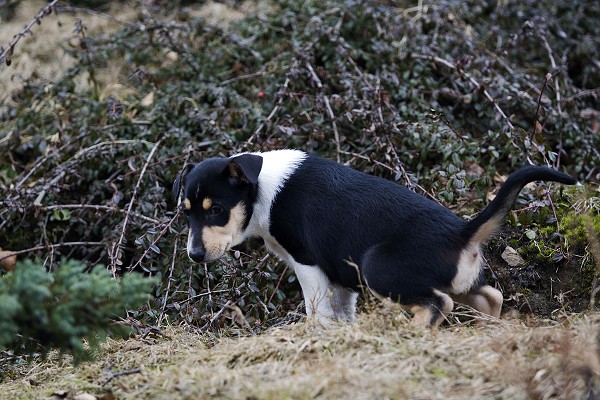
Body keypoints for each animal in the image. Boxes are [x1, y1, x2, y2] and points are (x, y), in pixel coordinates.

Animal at [172, 150, 576, 328]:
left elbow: (317, 310)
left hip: (377, 268)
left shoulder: (308, 263)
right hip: (460, 280)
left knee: (438, 303)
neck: (262, 189)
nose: (194, 255)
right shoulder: (340, 272)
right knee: (490, 296)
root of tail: (462, 232)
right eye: (186, 212)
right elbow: (341, 311)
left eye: (215, 209)